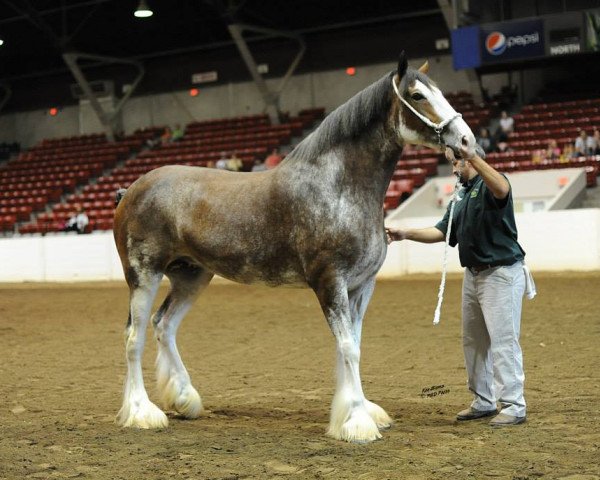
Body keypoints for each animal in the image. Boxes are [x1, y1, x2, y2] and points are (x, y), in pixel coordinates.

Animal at [113, 51, 478, 442]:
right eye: (417, 95)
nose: (467, 141)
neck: (337, 186)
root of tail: (131, 189)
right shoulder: (329, 282)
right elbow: (348, 348)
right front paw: (357, 421)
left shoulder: (361, 286)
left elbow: (353, 345)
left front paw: (357, 411)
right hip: (144, 274)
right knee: (134, 336)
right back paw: (141, 412)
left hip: (191, 276)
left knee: (164, 325)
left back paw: (184, 399)